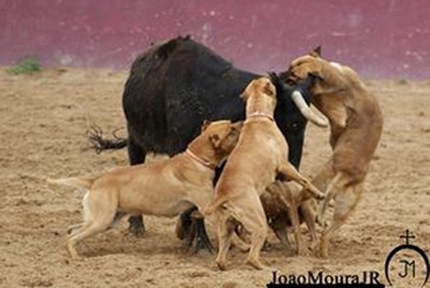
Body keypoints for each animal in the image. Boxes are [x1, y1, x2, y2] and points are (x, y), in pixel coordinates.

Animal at [47, 120, 242, 258]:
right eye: (231, 130)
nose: (242, 122)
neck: (197, 160)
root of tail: (94, 181)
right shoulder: (210, 208)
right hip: (102, 220)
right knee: (72, 237)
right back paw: (75, 257)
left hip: (106, 220)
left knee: (73, 229)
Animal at [90, 35, 316, 252]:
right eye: (294, 124)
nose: (288, 172)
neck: (215, 97)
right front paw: (201, 245)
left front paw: (188, 233)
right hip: (135, 138)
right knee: (135, 165)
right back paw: (137, 226)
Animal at [203, 77, 324, 270]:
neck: (257, 117)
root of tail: (224, 196)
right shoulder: (285, 165)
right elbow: (304, 180)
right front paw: (318, 193)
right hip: (259, 223)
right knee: (252, 258)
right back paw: (264, 267)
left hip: (226, 230)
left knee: (221, 259)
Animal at [288, 47, 382, 258]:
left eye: (294, 75)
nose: (284, 73)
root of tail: (349, 175)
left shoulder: (337, 115)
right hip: (345, 208)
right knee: (326, 228)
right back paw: (322, 251)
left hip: (323, 180)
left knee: (317, 198)